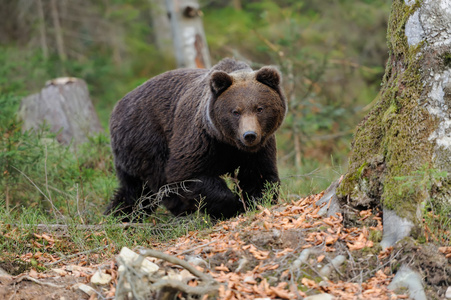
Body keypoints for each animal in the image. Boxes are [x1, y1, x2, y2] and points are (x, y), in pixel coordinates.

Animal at [106, 58, 286, 221]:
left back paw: (117, 216)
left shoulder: (258, 147)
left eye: (260, 108)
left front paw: (255, 201)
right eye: (236, 111)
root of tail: (116, 109)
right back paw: (180, 208)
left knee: (134, 192)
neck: (227, 141)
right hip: (147, 139)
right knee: (157, 180)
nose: (249, 135)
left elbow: (258, 175)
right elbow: (188, 174)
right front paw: (232, 207)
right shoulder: (201, 139)